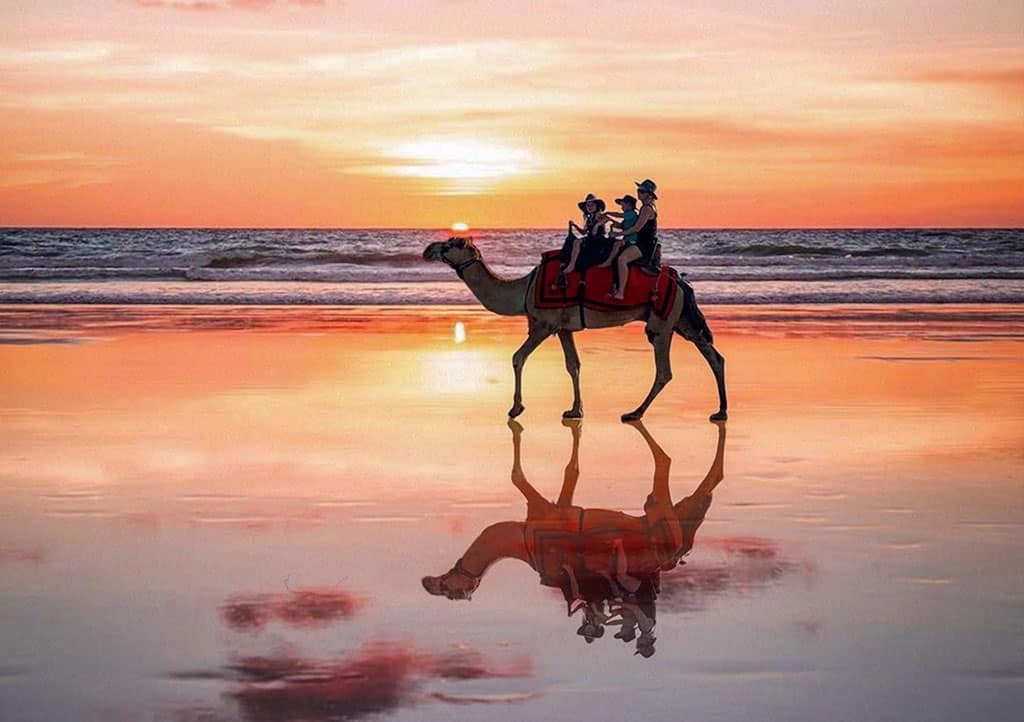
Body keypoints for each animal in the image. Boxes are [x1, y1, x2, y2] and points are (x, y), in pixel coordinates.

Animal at [419, 236, 724, 419]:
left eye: (450, 243)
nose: (428, 248)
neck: (524, 289)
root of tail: (682, 282)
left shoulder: (545, 324)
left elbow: (518, 357)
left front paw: (516, 408)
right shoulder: (564, 328)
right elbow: (573, 364)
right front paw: (575, 410)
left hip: (661, 322)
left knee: (664, 371)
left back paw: (634, 413)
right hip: (681, 320)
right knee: (713, 355)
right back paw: (720, 412)